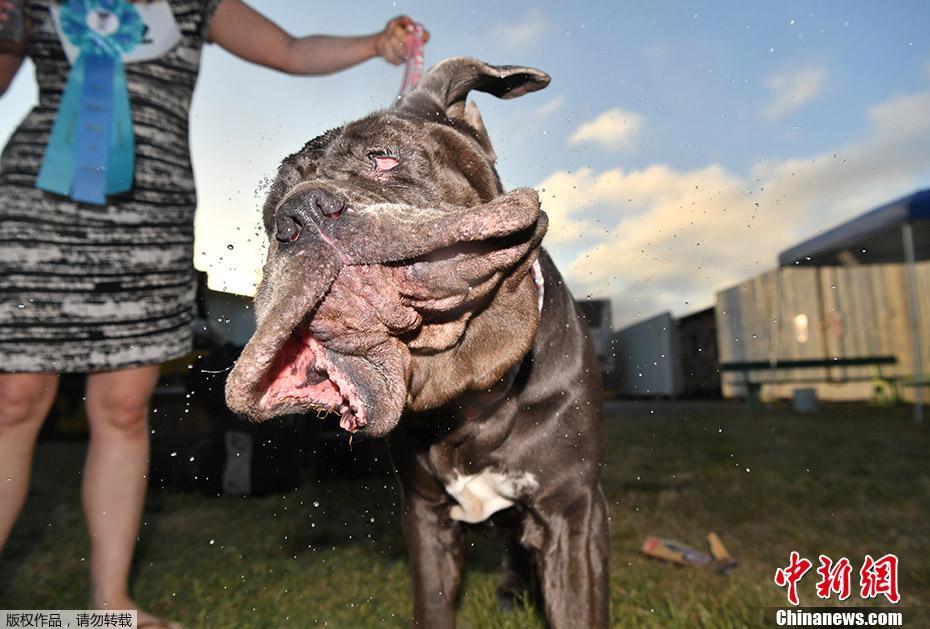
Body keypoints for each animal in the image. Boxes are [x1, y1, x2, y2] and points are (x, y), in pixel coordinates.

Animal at [226, 56, 608, 624]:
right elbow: (434, 605)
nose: (300, 214)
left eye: (384, 158)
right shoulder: (426, 521)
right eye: (270, 217)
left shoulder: (573, 513)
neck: (467, 393)